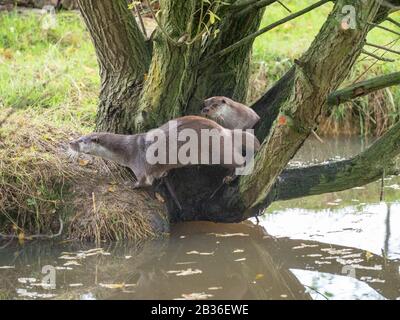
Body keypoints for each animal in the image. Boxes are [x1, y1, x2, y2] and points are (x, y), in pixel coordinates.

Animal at [68, 115, 260, 189]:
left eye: (81, 141)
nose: (70, 143)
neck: (128, 149)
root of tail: (226, 131)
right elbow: (158, 173)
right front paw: (163, 175)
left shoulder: (139, 164)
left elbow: (143, 181)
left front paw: (131, 185)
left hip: (219, 151)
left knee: (239, 161)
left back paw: (230, 177)